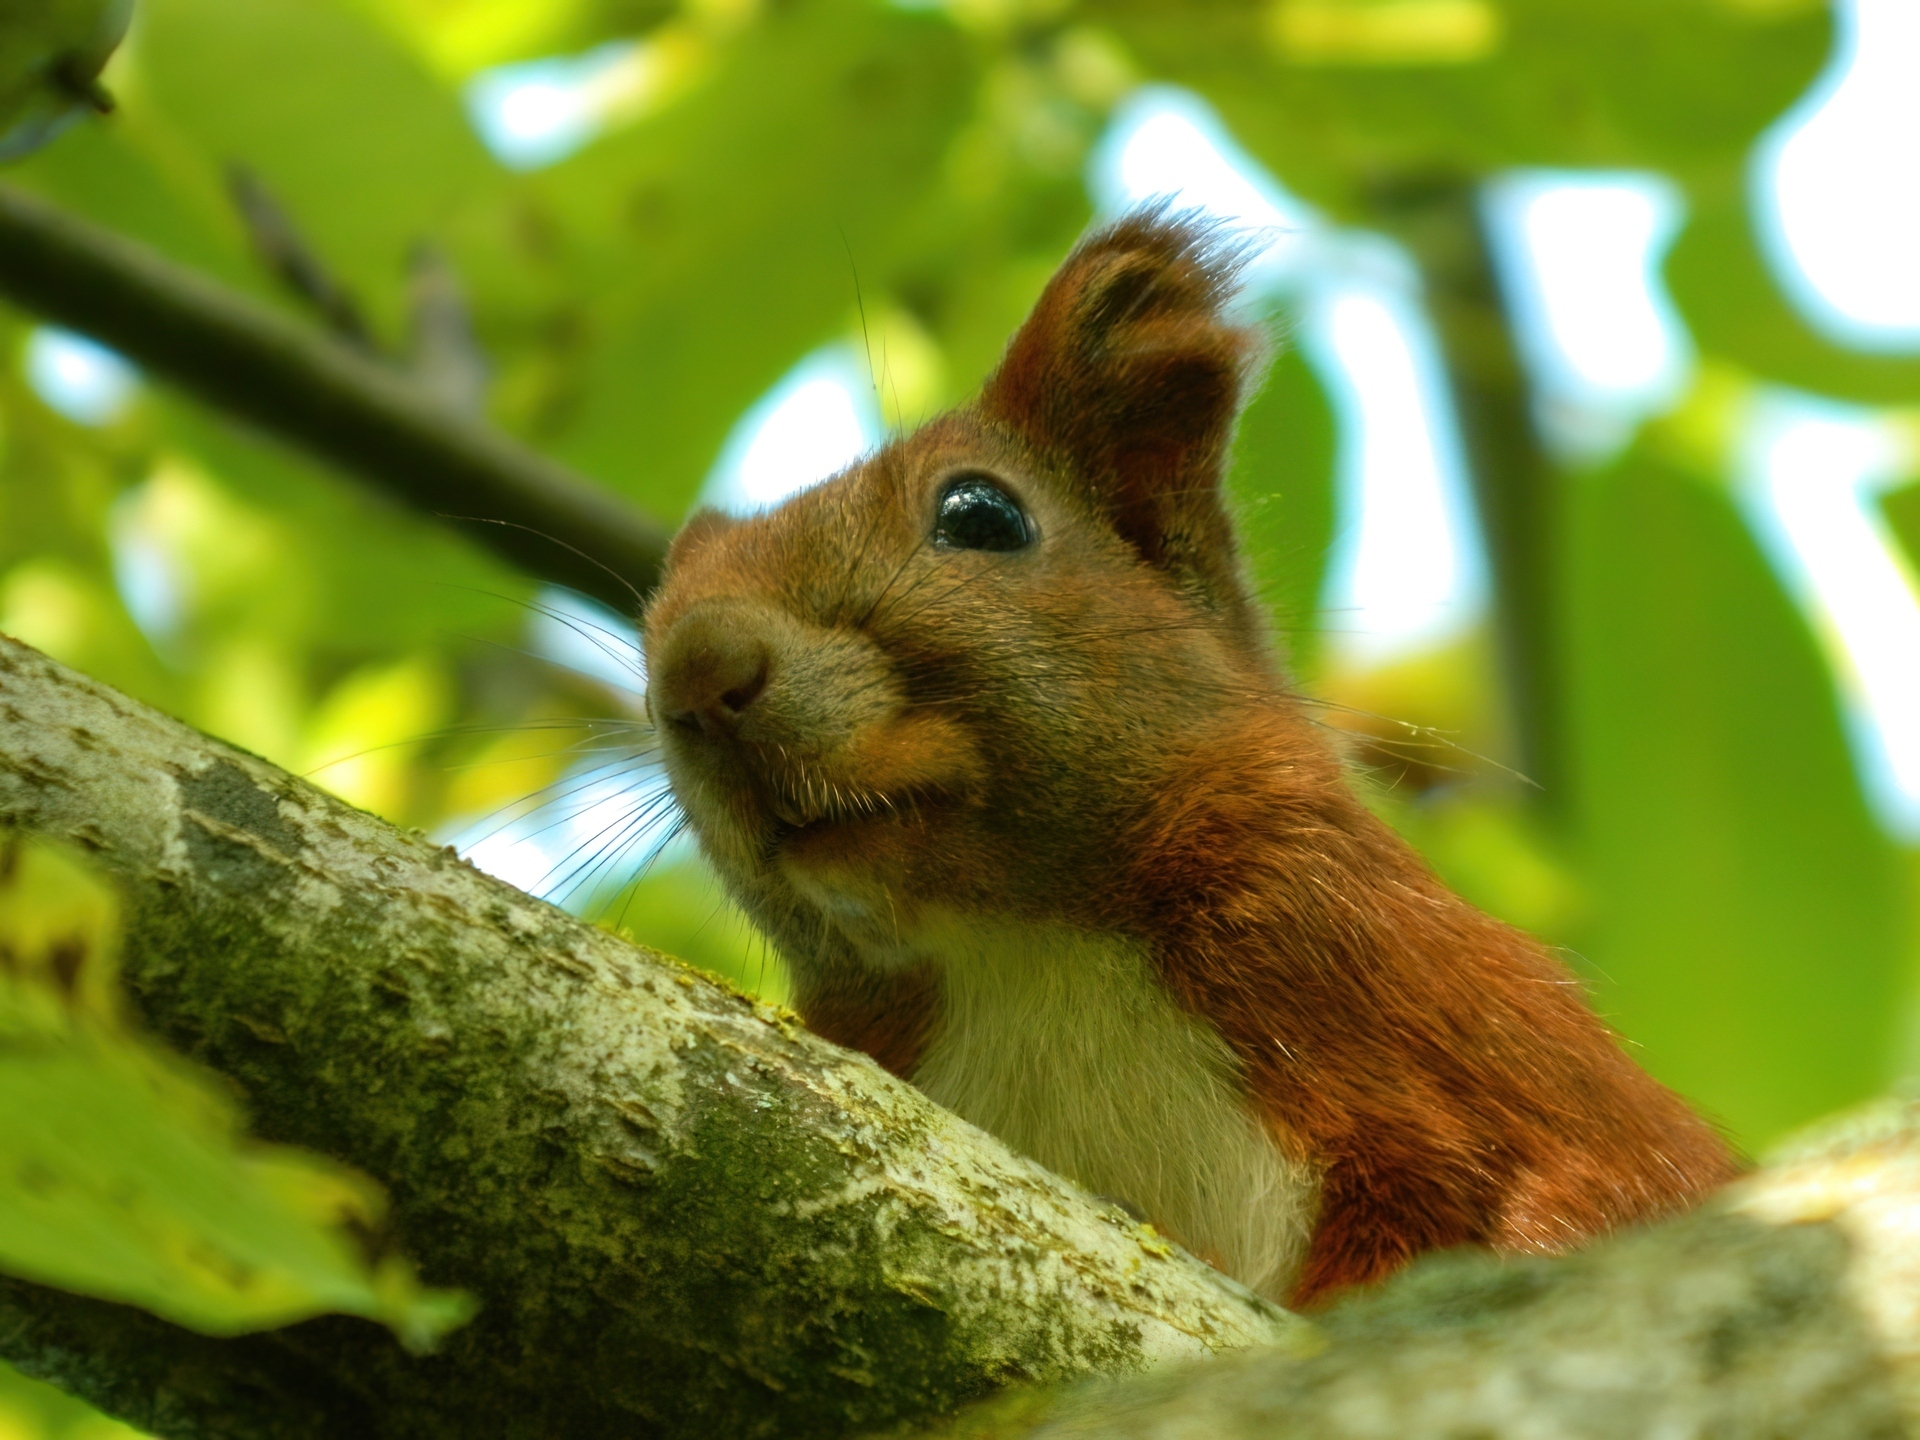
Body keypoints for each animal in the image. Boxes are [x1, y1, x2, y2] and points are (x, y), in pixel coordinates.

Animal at [637, 211, 1735, 1305]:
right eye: (651, 628)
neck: (1024, 947)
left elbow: (1565, 1195)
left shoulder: (1399, 983)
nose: (698, 669)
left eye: (981, 514)